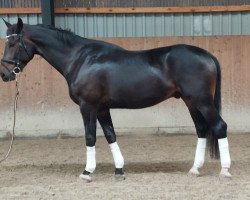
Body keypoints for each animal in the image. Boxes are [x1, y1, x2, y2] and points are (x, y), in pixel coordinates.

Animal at [0, 18, 231, 181]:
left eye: (12, 43)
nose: (4, 74)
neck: (81, 58)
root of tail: (208, 55)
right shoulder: (102, 109)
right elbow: (110, 135)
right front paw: (119, 170)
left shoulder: (88, 107)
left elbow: (90, 137)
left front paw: (87, 172)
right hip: (190, 101)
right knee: (202, 129)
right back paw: (195, 169)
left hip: (201, 101)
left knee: (219, 126)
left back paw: (225, 170)